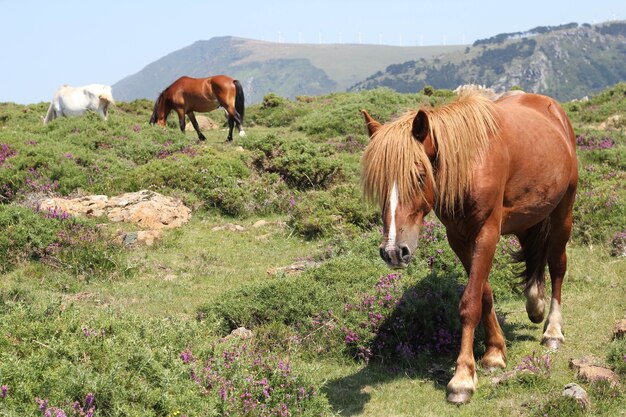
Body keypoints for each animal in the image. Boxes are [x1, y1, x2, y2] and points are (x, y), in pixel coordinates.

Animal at [358, 91, 576, 404]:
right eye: (379, 184)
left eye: (420, 176)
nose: (393, 252)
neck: (471, 163)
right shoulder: (458, 238)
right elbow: (483, 293)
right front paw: (495, 352)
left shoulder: (486, 233)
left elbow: (469, 302)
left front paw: (462, 378)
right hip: (529, 214)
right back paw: (535, 303)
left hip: (563, 210)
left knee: (557, 264)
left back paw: (553, 330)